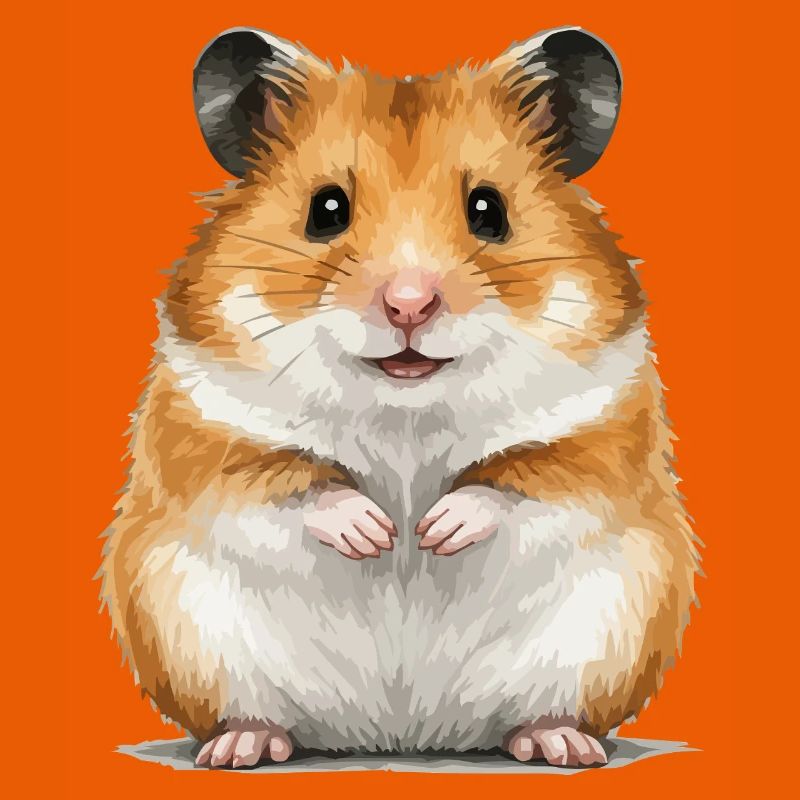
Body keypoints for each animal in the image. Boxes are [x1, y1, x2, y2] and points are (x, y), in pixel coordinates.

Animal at [99, 25, 699, 769]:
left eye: (489, 210)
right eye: (326, 209)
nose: (409, 305)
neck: (405, 409)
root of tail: (402, 734)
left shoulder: (601, 433)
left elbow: (522, 480)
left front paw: (432, 531)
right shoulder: (205, 428)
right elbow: (286, 480)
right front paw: (378, 534)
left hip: (610, 632)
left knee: (543, 712)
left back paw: (562, 745)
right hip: (189, 636)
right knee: (256, 715)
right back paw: (239, 748)